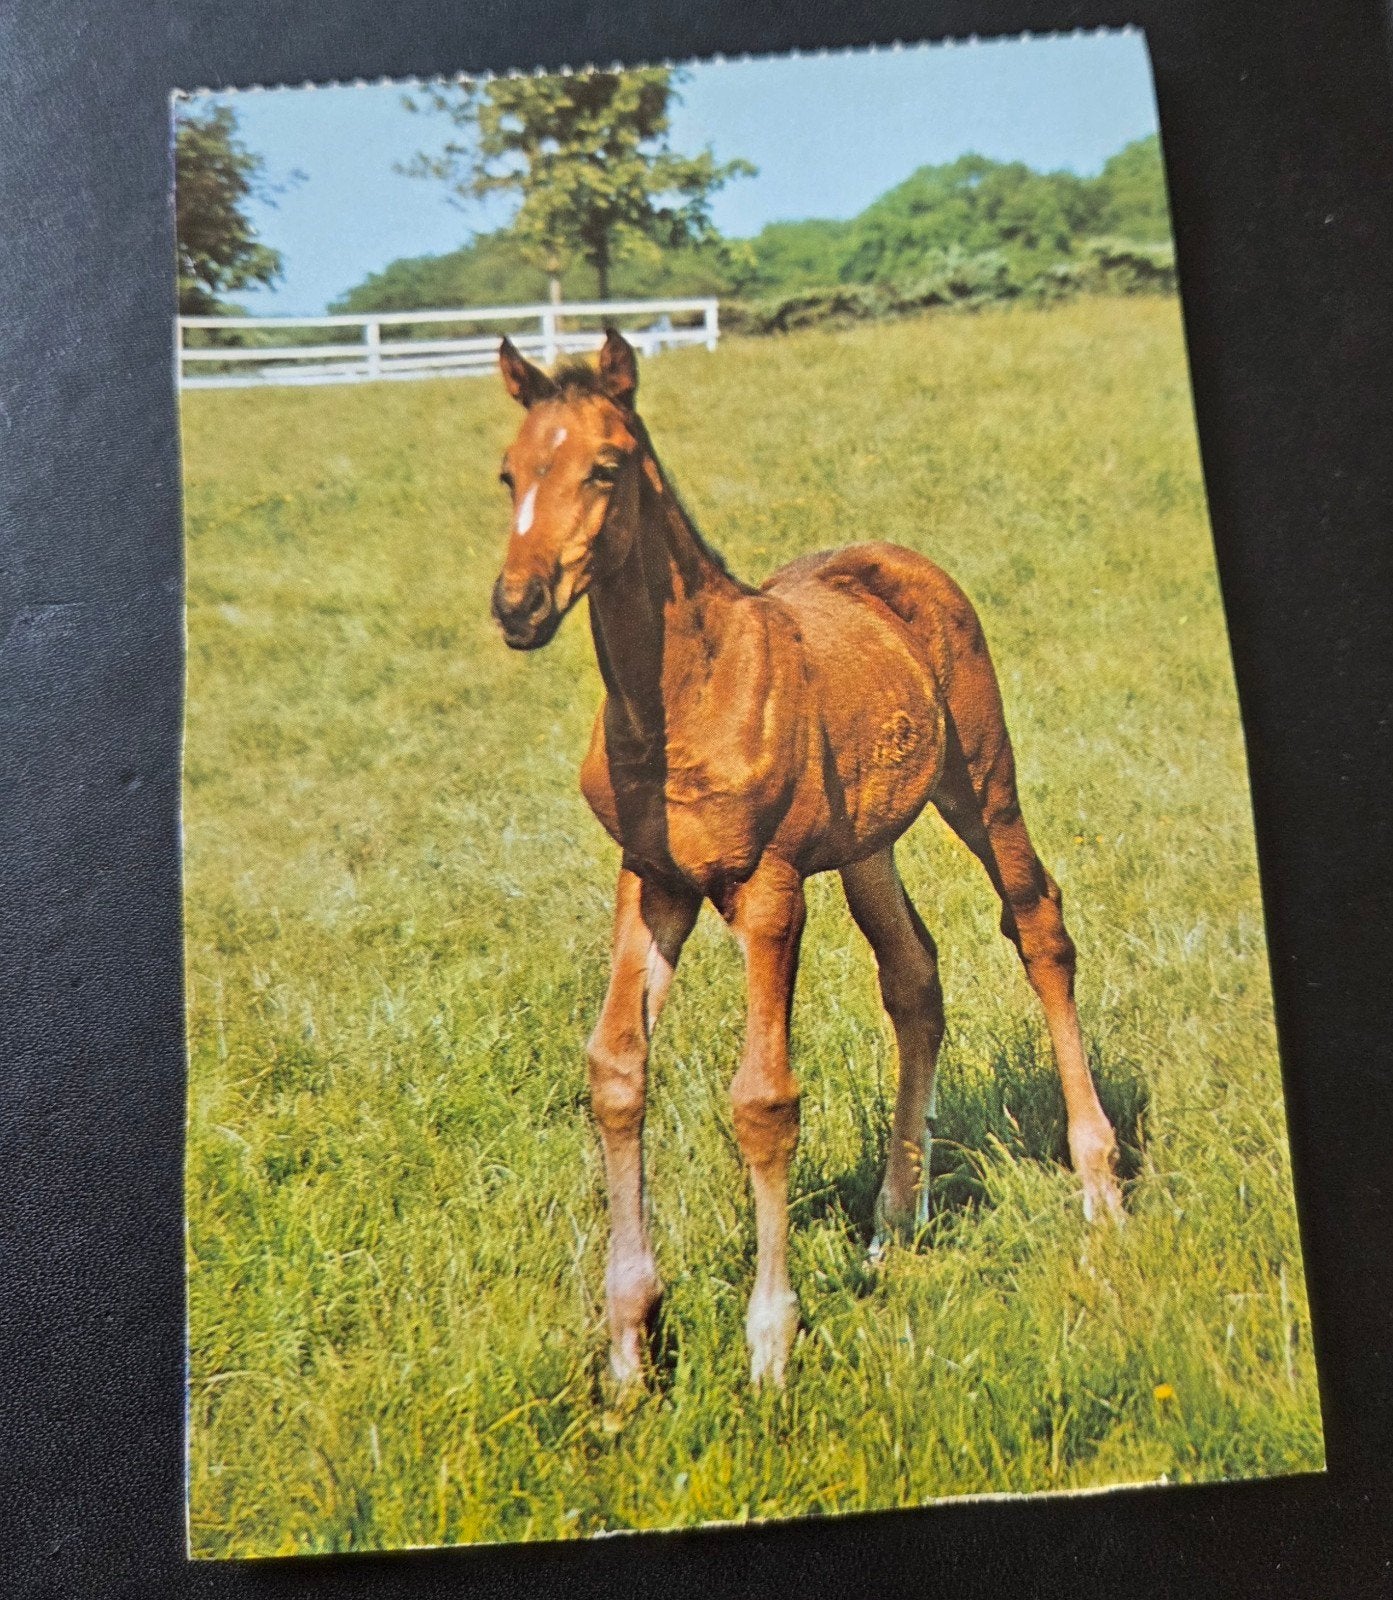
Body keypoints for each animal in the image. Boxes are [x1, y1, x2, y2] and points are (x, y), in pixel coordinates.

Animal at [489, 327, 1123, 1388]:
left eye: (605, 468)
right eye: (508, 473)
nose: (517, 604)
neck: (680, 697)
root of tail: (897, 556)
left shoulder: (769, 890)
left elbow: (763, 1101)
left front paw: (770, 1344)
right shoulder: (651, 883)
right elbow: (616, 1070)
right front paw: (629, 1348)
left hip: (979, 781)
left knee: (1038, 925)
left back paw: (1100, 1187)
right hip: (866, 845)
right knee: (914, 977)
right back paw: (893, 1221)